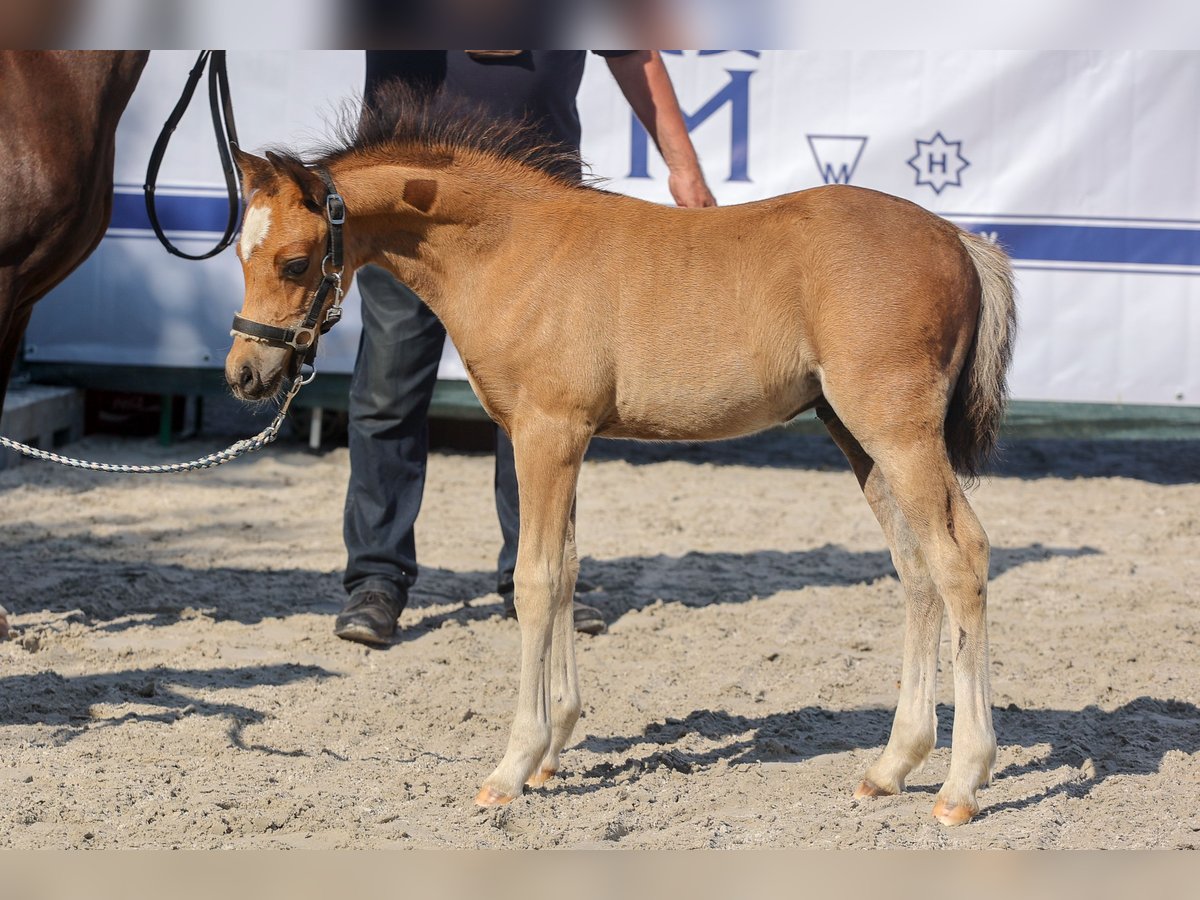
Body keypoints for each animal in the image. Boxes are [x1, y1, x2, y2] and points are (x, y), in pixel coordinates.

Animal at [225, 90, 1012, 825]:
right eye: (238, 254)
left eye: (294, 262)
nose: (244, 374)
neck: (512, 249)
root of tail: (958, 238)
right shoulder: (562, 439)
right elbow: (567, 572)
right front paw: (553, 749)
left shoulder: (546, 433)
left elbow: (536, 581)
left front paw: (513, 766)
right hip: (858, 437)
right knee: (916, 570)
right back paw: (891, 767)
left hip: (898, 432)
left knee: (961, 556)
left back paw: (962, 783)